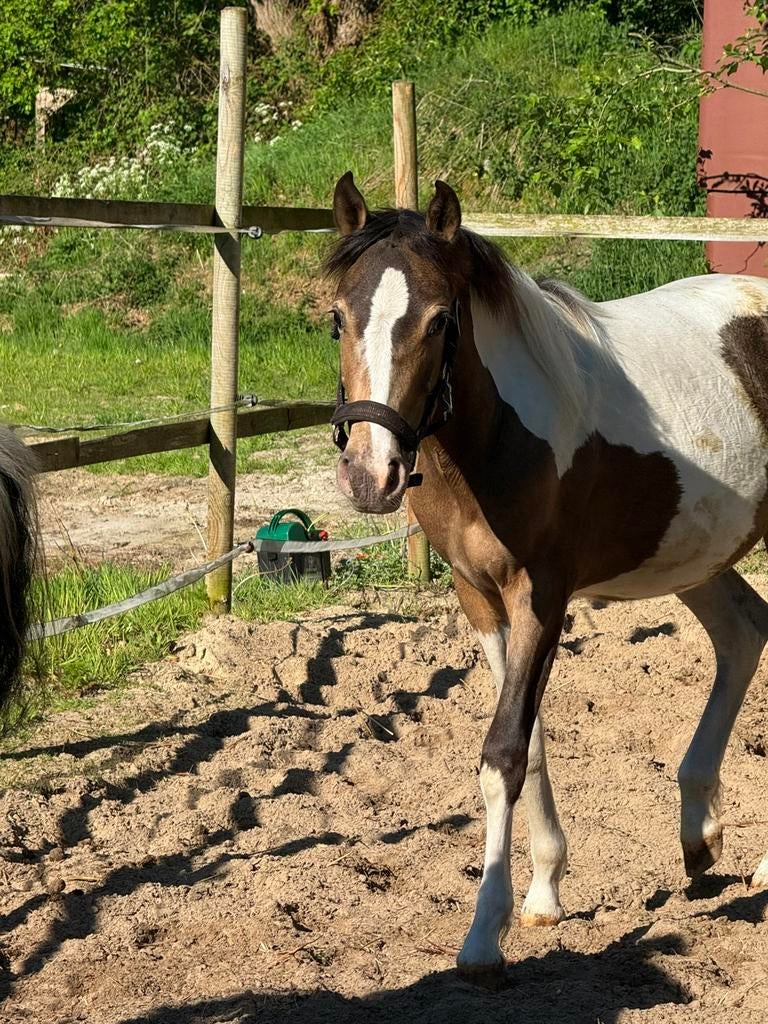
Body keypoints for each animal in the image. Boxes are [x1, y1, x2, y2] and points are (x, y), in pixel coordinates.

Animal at [325, 171, 768, 982]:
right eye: (337, 318)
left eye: (439, 321)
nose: (371, 476)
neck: (498, 438)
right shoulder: (480, 598)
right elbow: (525, 745)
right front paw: (541, 894)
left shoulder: (543, 595)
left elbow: (502, 751)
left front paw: (482, 938)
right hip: (694, 549)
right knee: (744, 634)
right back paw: (701, 834)